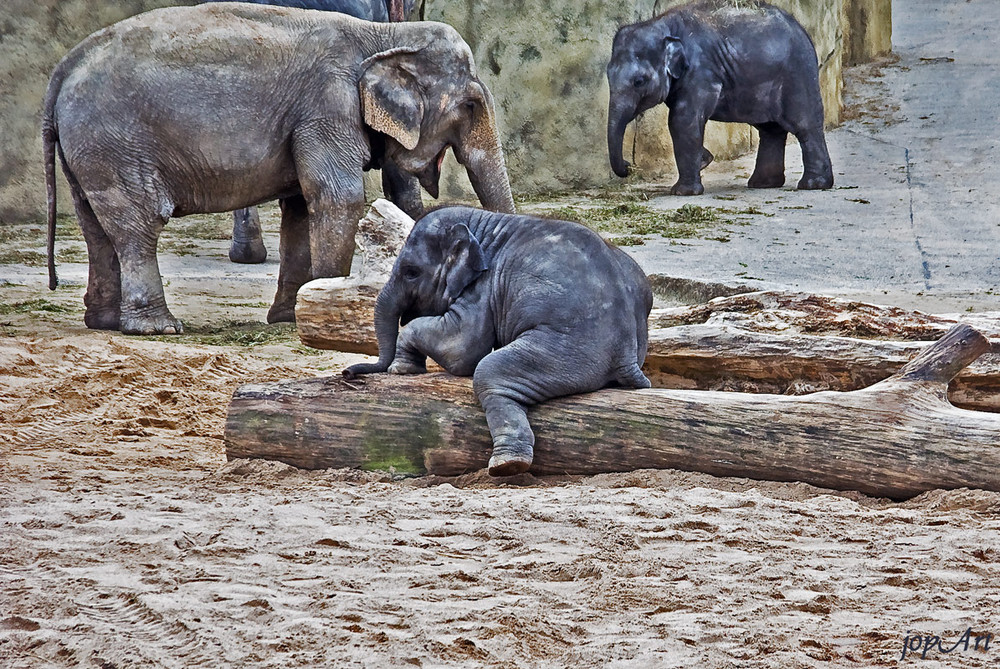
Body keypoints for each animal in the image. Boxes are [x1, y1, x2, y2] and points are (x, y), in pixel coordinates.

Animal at [344, 207, 656, 474]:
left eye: (411, 272)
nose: (348, 372)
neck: (482, 223)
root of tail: (626, 356)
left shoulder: (483, 287)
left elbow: (462, 348)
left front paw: (401, 369)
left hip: (570, 350)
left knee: (489, 373)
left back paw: (507, 465)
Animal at [608, 1, 836, 196]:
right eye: (608, 75)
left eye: (639, 81)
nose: (629, 166)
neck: (662, 24)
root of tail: (802, 30)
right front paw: (704, 161)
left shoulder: (702, 71)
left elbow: (682, 119)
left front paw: (684, 191)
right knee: (770, 130)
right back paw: (763, 184)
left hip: (797, 73)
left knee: (804, 126)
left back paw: (813, 185)